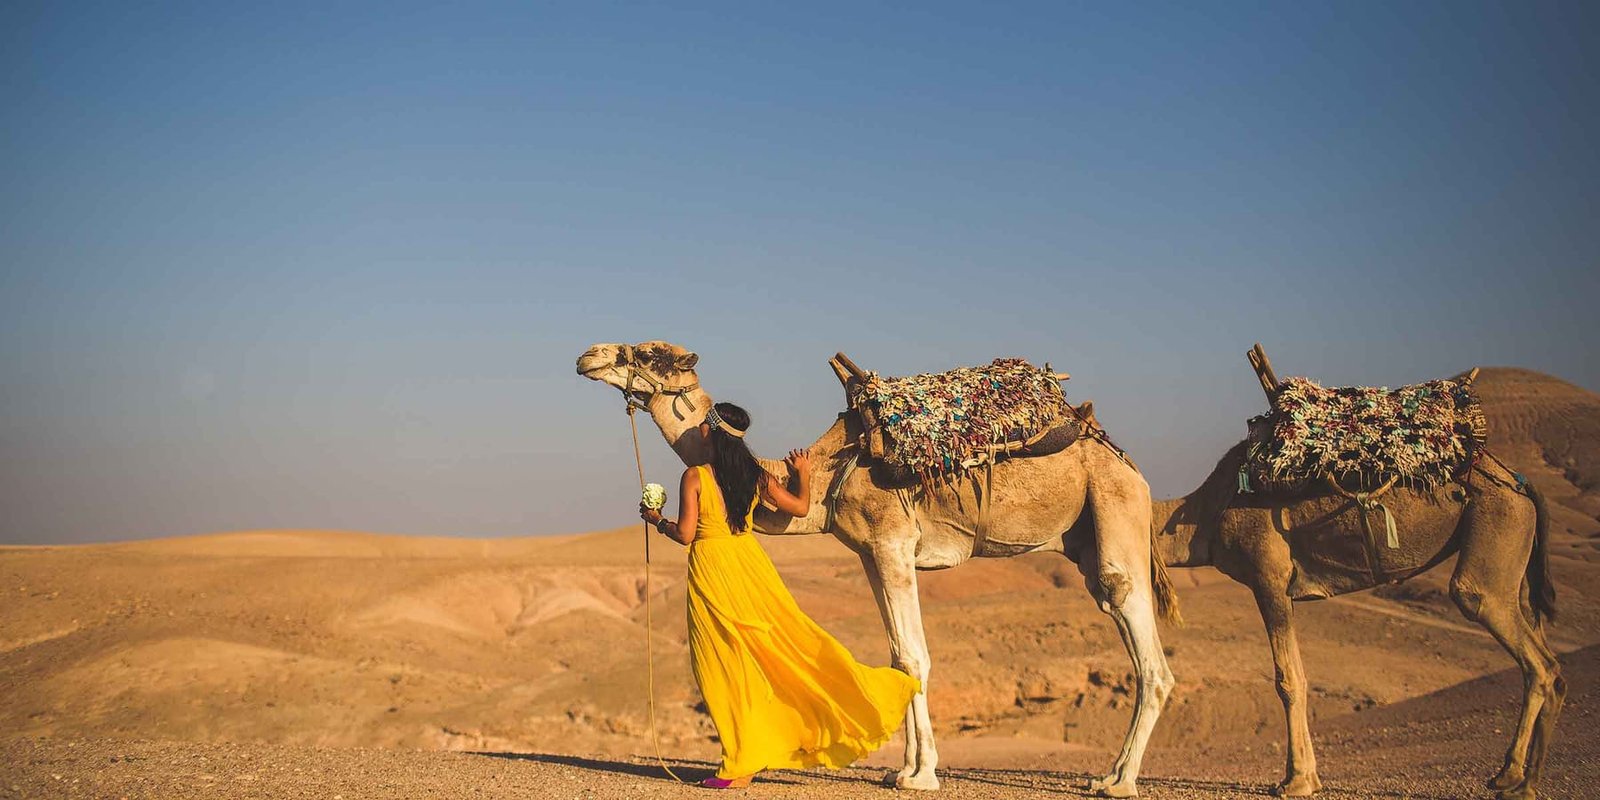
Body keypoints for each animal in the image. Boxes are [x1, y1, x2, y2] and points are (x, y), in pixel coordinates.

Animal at [577, 340, 1181, 796]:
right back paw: (1113, 774)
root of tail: (1128, 462)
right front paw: (902, 769)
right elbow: (897, 656)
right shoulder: (871, 553)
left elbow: (914, 657)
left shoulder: (893, 541)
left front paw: (922, 776)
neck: (828, 472)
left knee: (1142, 637)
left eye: (649, 353)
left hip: (1114, 506)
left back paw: (1118, 782)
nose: (589, 355)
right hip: (1085, 534)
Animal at [1154, 380, 1562, 800]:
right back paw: (1524, 777)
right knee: (1547, 659)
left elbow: (1288, 679)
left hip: (1497, 524)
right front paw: (1309, 776)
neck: (1202, 515)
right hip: (1517, 555)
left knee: (1526, 650)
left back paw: (1514, 777)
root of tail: (1521, 484)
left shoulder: (1268, 578)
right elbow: (1299, 674)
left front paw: (1295, 780)